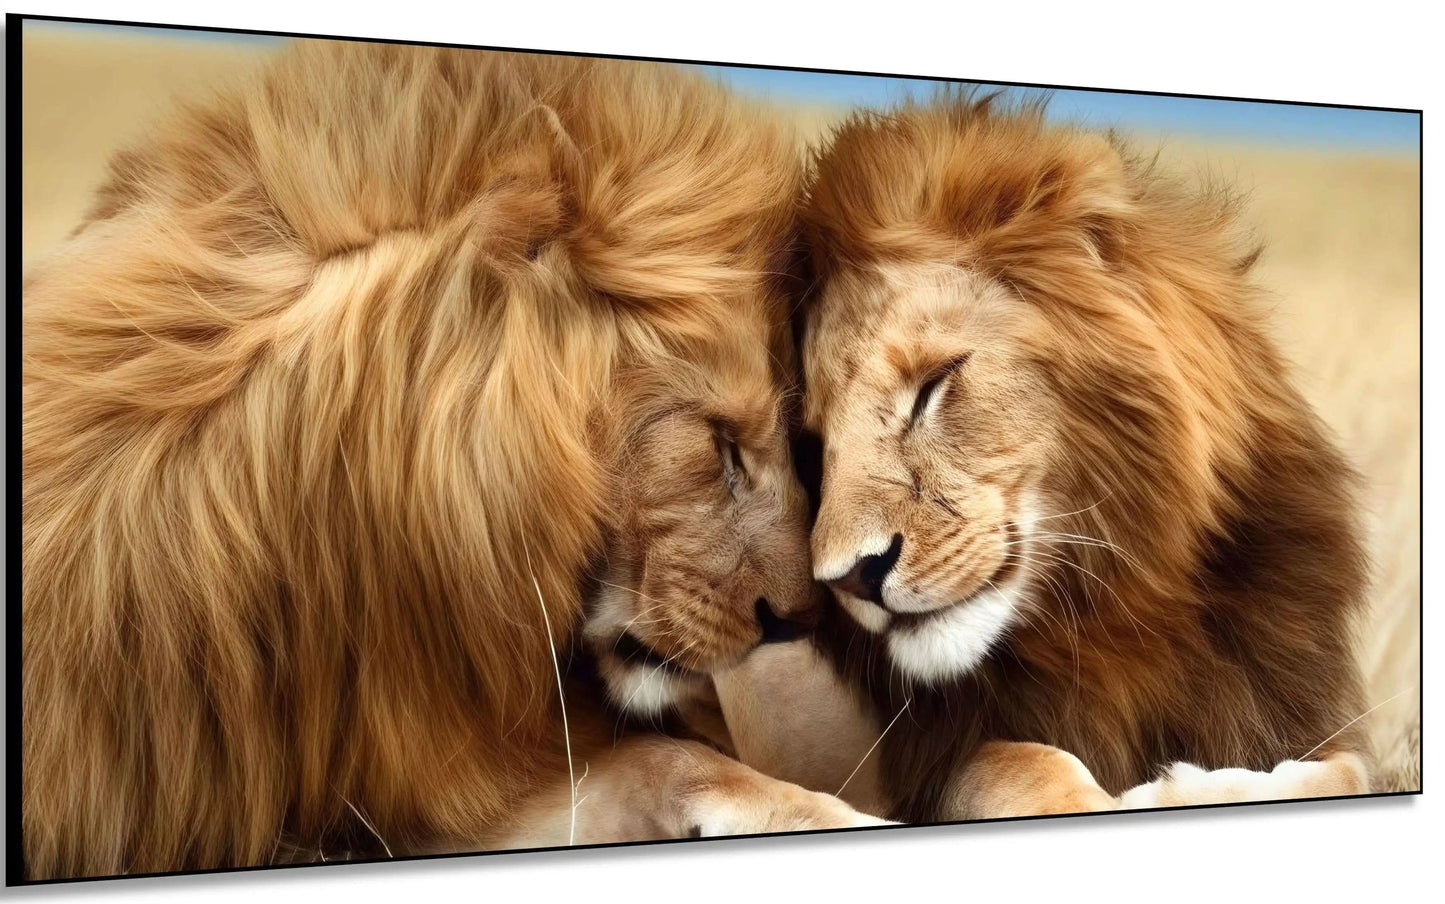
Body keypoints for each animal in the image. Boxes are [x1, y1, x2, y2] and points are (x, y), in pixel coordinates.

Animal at [721, 95, 1375, 823]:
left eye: (932, 384)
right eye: (812, 446)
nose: (853, 579)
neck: (1118, 615)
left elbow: (1346, 771)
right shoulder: (947, 765)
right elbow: (1021, 762)